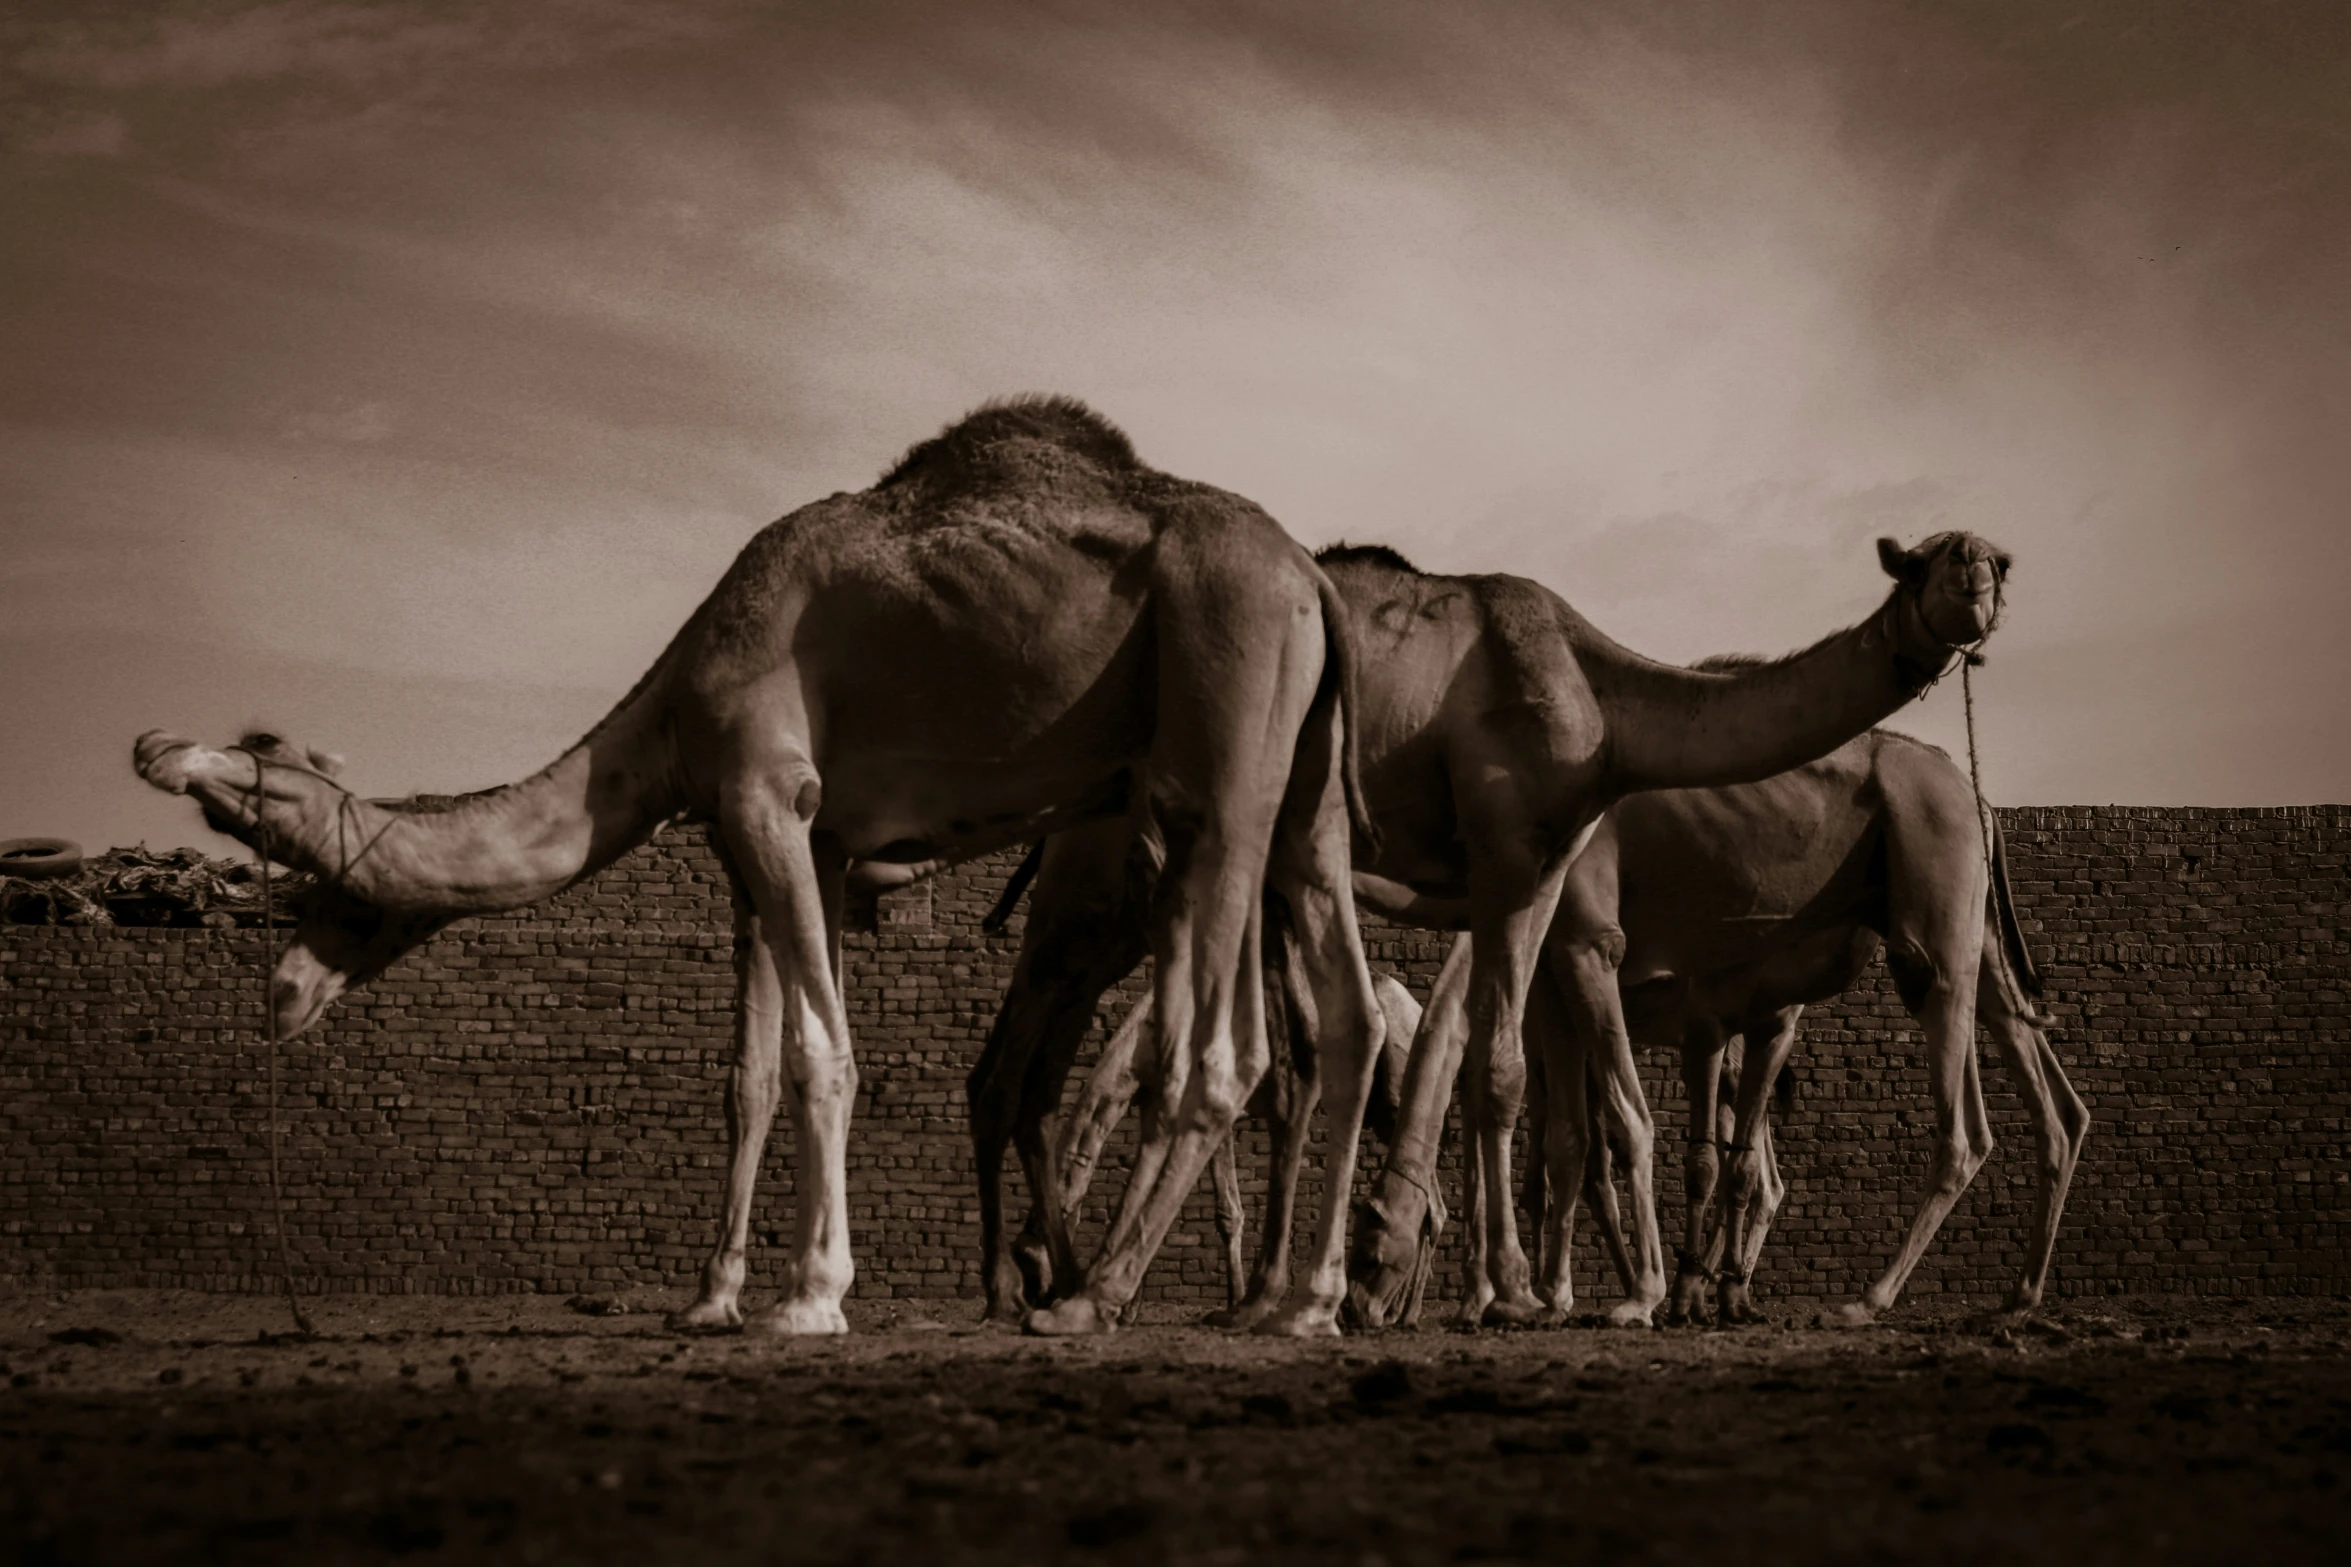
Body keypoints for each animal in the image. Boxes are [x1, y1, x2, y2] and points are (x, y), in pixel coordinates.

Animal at [133, 399, 1372, 1343]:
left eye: (340, 893)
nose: (281, 993)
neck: (678, 696)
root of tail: (1310, 583)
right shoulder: (788, 841)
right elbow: (750, 1074)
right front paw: (710, 1297)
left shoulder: (767, 790)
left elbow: (824, 1052)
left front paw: (809, 1298)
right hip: (1304, 795)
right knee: (1348, 1014)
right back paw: (1302, 1305)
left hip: (1217, 753)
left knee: (1225, 1043)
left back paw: (1089, 1299)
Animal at [963, 530, 2012, 1334]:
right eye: (1922, 561)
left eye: (1995, 558)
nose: (1976, 575)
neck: (1602, 702)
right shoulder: (1525, 869)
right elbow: (1548, 1096)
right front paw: (1571, 1292)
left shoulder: (1535, 868)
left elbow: (1503, 1082)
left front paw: (1510, 1291)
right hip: (1102, 882)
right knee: (1042, 1049)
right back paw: (1046, 1280)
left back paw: (1060, 1275)